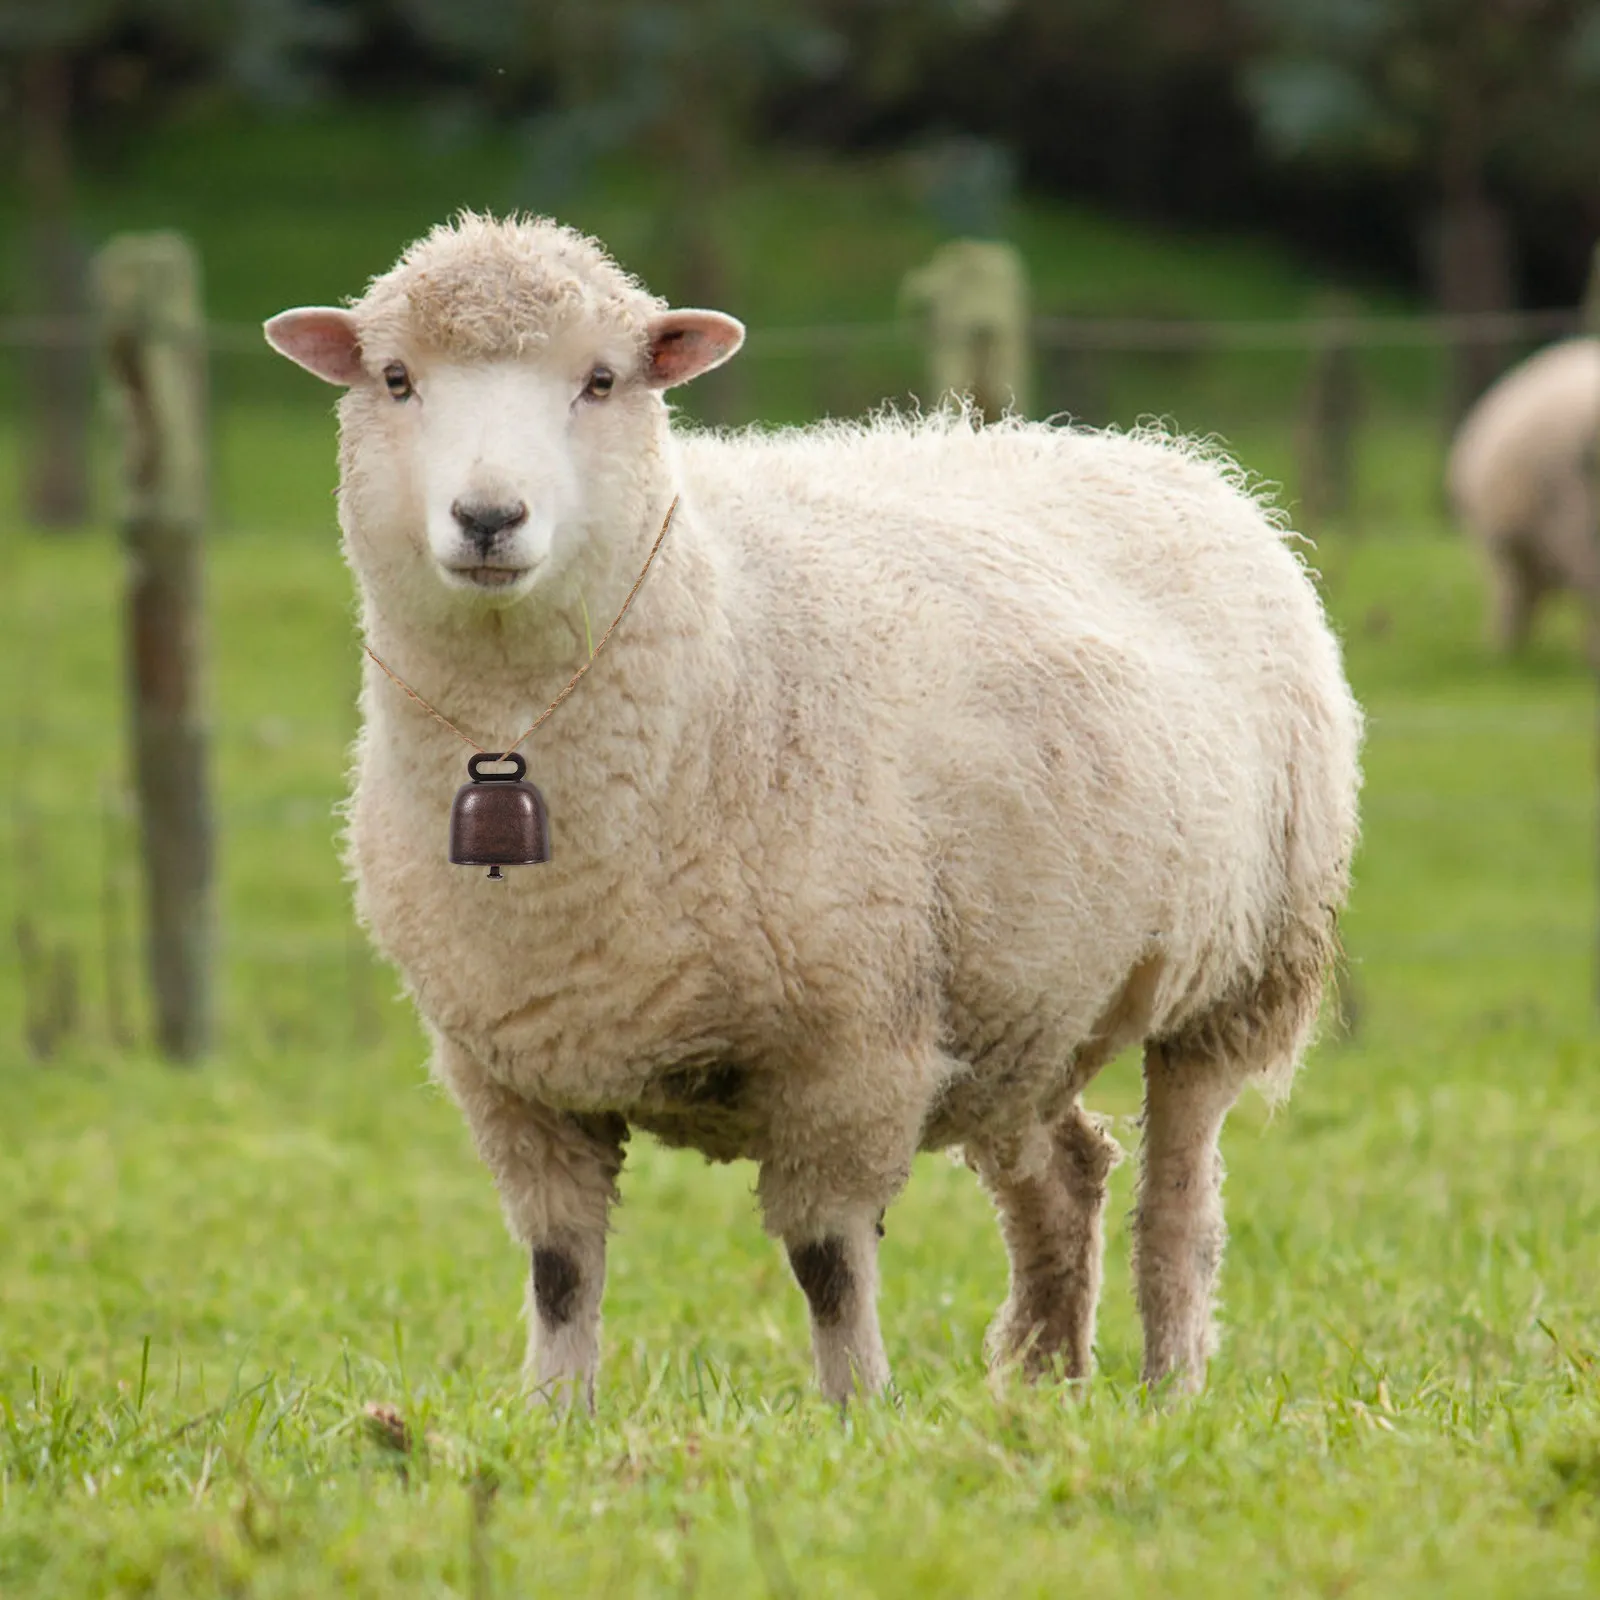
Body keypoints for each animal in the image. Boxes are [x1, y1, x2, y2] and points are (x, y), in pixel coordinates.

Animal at [263, 212, 1363, 1410]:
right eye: (397, 378)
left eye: (602, 380)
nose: (488, 517)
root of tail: (1163, 455)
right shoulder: (511, 1073)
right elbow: (560, 1269)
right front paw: (556, 1417)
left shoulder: (854, 1051)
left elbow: (828, 1262)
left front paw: (856, 1415)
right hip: (1018, 999)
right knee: (1066, 1175)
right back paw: (1042, 1386)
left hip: (1240, 971)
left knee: (1180, 1203)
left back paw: (1168, 1388)